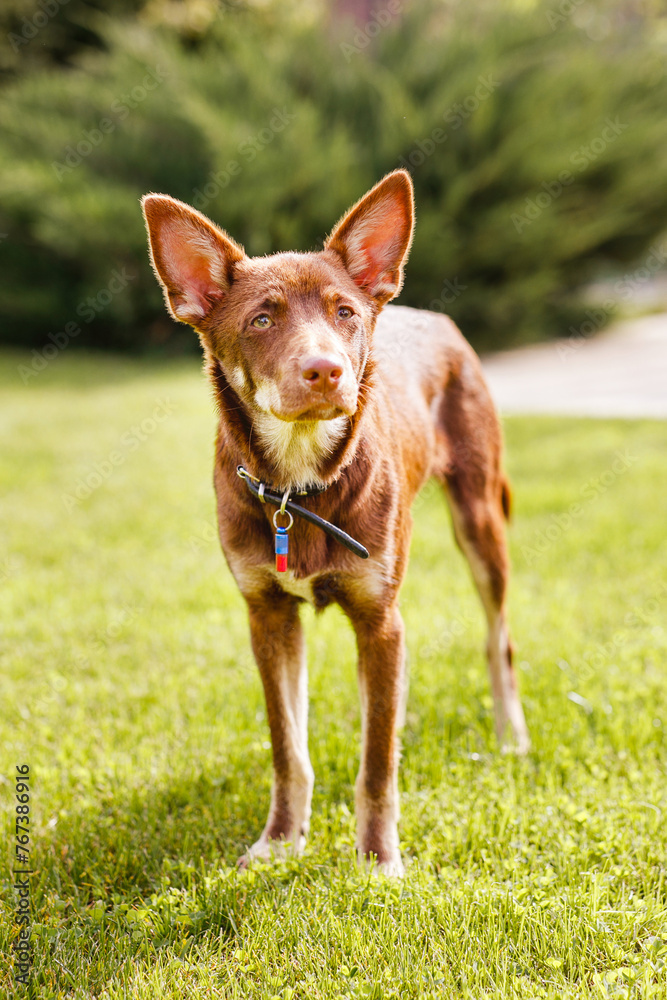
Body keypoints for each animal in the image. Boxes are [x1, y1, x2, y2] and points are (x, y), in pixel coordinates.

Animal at [144, 172, 528, 876]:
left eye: (344, 313)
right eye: (261, 319)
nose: (326, 370)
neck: (300, 487)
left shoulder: (380, 622)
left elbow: (377, 761)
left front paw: (377, 860)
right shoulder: (268, 617)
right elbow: (288, 746)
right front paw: (280, 840)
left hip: (480, 520)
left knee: (499, 639)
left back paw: (511, 736)